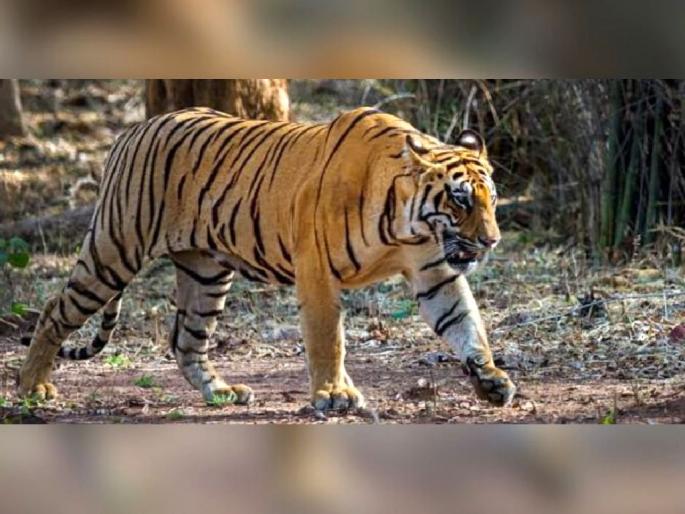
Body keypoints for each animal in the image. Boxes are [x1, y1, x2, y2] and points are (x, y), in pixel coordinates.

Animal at [18, 106, 516, 411]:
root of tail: (132, 130)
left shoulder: (435, 271)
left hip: (206, 273)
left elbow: (466, 325)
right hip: (115, 248)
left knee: (186, 340)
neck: (408, 225)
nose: (492, 241)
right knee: (54, 309)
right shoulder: (317, 271)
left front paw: (491, 378)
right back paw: (32, 387)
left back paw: (222, 393)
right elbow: (328, 339)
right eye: (460, 200)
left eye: (491, 200)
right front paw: (334, 394)